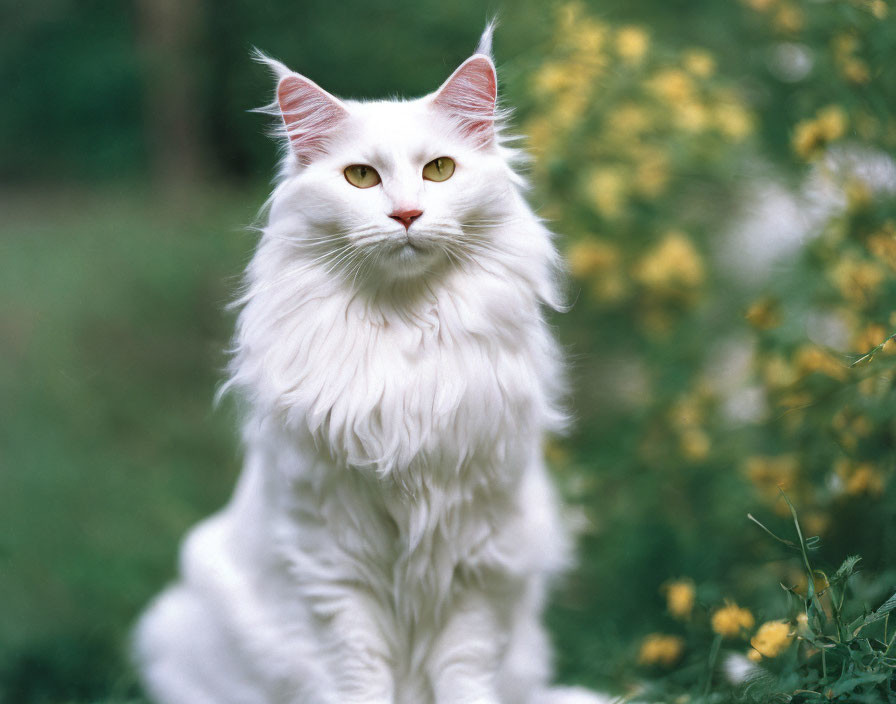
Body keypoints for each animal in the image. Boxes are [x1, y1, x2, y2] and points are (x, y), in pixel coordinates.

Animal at [133, 26, 608, 704]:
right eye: (360, 177)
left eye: (439, 170)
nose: (406, 215)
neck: (404, 336)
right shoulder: (333, 560)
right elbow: (359, 674)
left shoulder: (480, 556)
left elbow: (464, 670)